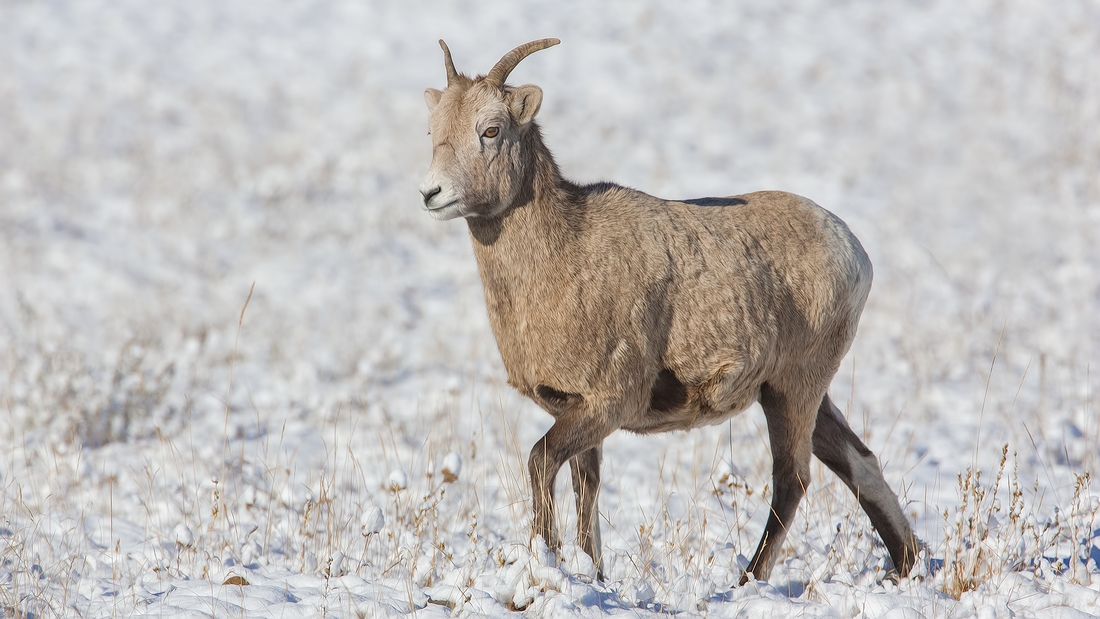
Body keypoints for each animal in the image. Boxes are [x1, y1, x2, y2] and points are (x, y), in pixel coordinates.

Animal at [418, 39, 919, 584]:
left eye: (490, 130)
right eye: (432, 131)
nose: (431, 194)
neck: (566, 253)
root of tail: (853, 249)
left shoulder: (609, 402)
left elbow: (540, 461)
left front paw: (546, 560)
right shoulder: (577, 411)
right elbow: (586, 491)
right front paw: (595, 577)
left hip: (794, 388)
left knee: (793, 478)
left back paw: (745, 582)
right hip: (801, 392)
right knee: (860, 463)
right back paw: (908, 567)